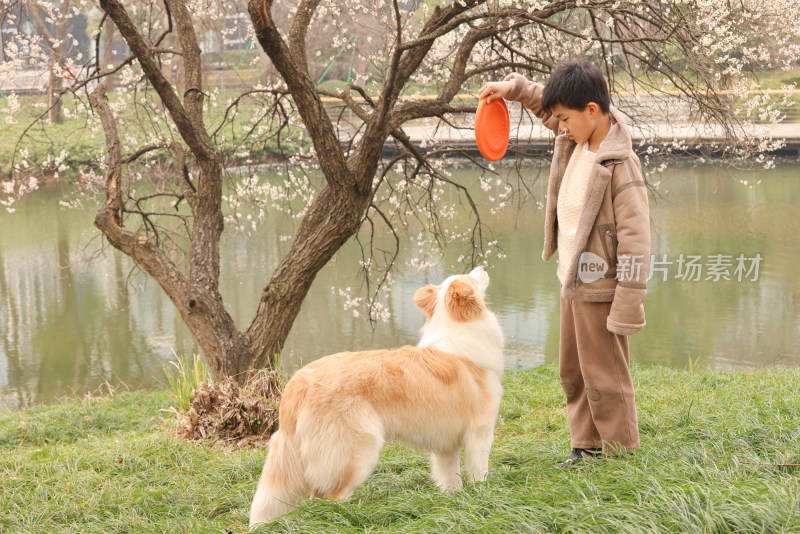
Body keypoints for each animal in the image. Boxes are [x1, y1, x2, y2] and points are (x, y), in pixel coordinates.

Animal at [247, 268, 504, 528]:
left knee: (317, 498)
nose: (483, 267)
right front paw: (482, 495)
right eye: (470, 277)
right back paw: (348, 518)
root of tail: (298, 383)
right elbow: (479, 471)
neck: (457, 328)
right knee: (331, 498)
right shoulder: (480, 432)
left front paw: (455, 501)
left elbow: (450, 477)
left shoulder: (446, 444)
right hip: (358, 452)